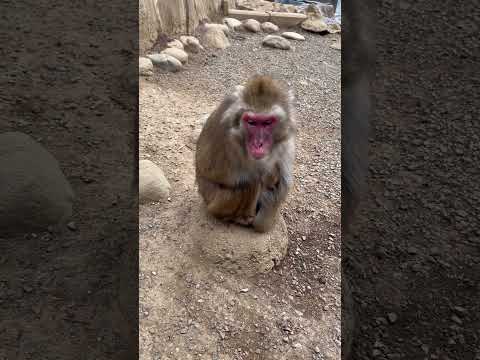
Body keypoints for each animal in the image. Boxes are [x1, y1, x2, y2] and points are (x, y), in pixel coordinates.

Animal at [195, 76, 296, 233]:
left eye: (267, 122)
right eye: (252, 122)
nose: (258, 144)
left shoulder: (285, 139)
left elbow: (283, 182)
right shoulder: (228, 136)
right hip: (215, 202)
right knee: (250, 183)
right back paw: (241, 218)